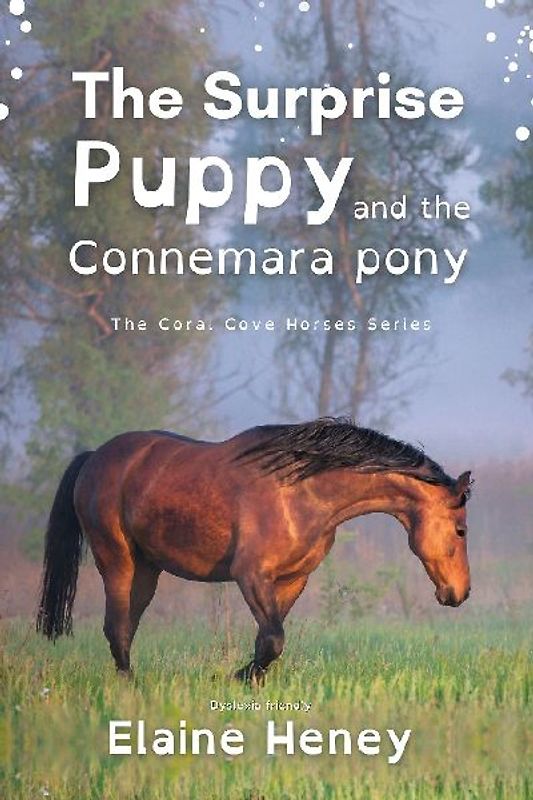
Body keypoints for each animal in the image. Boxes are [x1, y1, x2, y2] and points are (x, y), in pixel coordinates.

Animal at [36, 418, 472, 683]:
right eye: (461, 529)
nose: (460, 593)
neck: (300, 492)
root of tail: (94, 458)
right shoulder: (251, 576)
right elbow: (273, 639)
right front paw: (234, 678)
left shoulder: (292, 580)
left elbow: (268, 640)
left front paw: (246, 680)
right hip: (117, 561)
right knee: (117, 627)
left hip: (147, 570)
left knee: (125, 627)